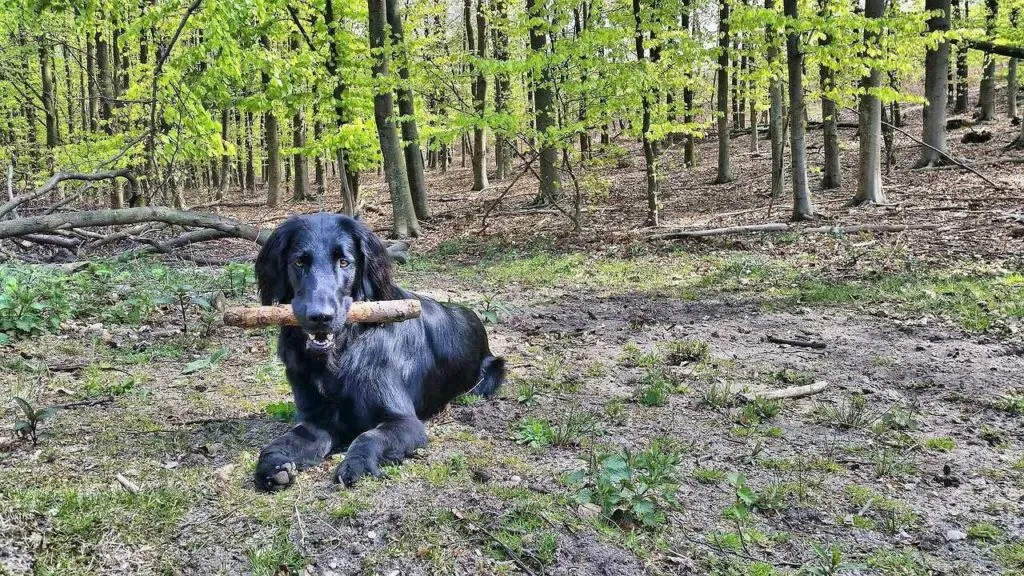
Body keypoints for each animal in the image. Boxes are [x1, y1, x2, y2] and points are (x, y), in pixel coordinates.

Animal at [253, 212, 505, 487]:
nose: (320, 317)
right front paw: (273, 464)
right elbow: (284, 440)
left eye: (344, 262)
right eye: (299, 262)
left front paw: (355, 464)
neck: (340, 355)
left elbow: (368, 437)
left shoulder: (405, 422)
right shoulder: (317, 419)